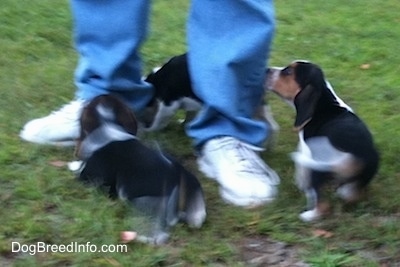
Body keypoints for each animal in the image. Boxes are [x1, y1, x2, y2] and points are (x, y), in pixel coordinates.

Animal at [266, 61, 378, 223]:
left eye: (288, 72)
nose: (267, 70)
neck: (324, 101)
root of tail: (360, 154)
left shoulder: (307, 151)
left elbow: (302, 170)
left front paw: (301, 185)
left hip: (319, 168)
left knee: (323, 203)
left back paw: (309, 215)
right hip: (358, 181)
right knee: (352, 195)